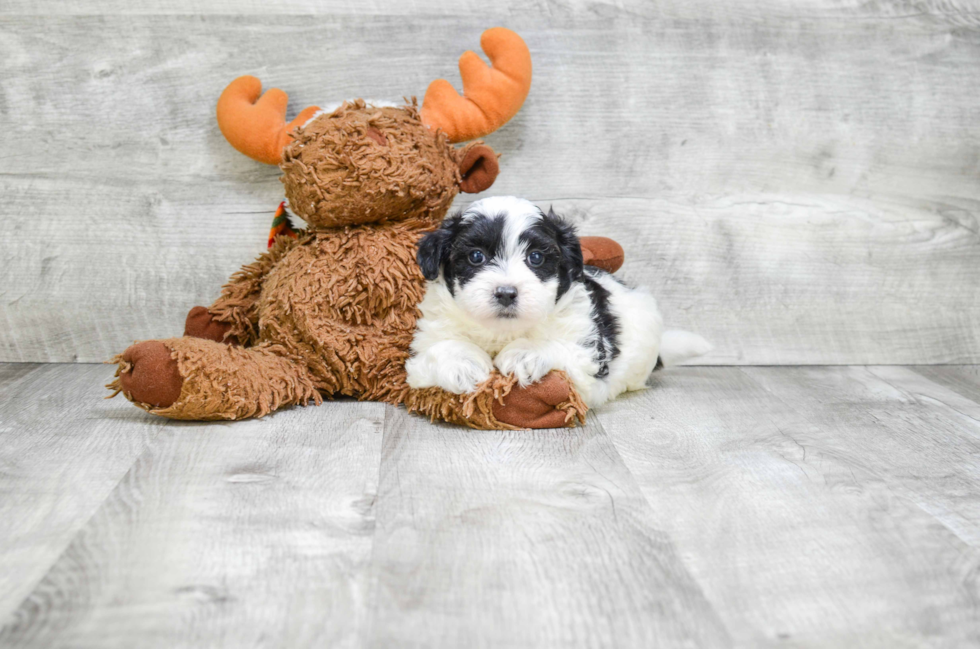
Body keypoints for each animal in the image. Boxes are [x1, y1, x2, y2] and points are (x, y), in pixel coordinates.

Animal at [402, 195, 708, 408]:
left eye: (536, 257)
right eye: (476, 256)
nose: (506, 292)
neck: (502, 332)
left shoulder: (586, 349)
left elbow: (560, 346)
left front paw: (525, 352)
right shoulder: (430, 336)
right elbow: (440, 347)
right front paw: (462, 363)